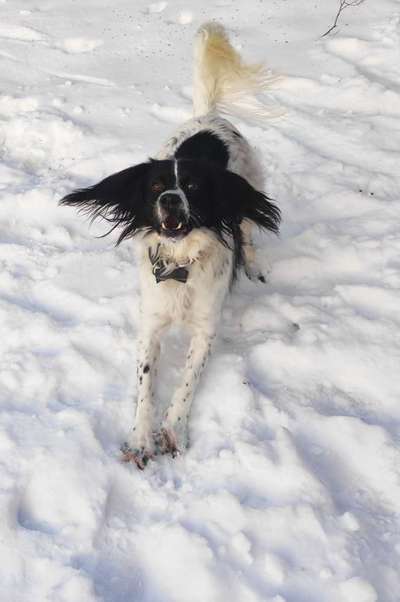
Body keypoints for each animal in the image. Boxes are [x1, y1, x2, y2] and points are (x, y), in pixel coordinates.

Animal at [60, 23, 282, 466]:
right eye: (156, 186)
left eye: (192, 187)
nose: (170, 200)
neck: (181, 263)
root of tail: (208, 116)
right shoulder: (151, 325)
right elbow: (145, 386)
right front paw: (140, 439)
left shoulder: (205, 329)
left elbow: (188, 382)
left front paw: (174, 430)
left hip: (249, 192)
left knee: (248, 231)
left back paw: (253, 266)